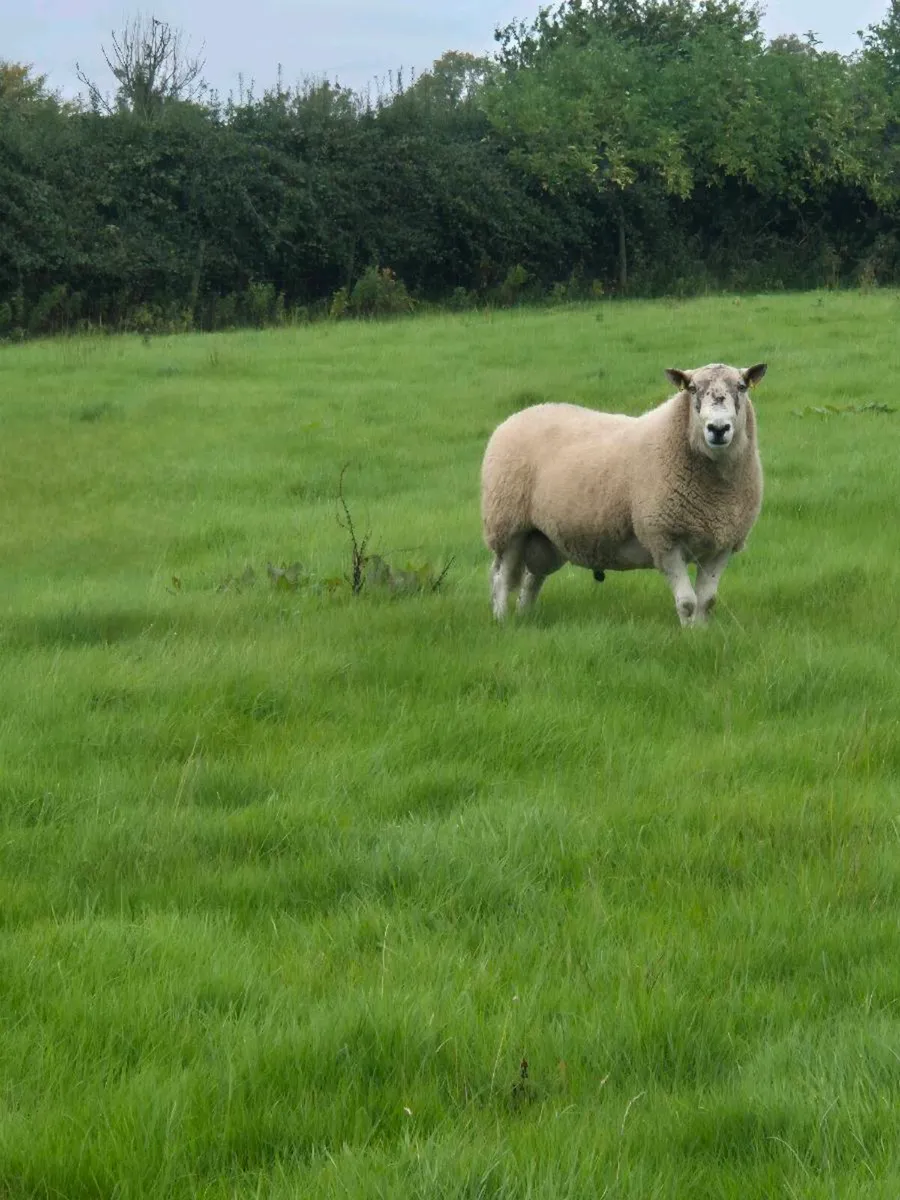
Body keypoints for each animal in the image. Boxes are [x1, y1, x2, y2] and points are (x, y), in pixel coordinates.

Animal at [481, 362, 767, 627]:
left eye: (742, 386)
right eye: (692, 388)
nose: (718, 429)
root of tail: (516, 416)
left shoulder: (722, 543)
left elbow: (706, 602)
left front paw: (701, 635)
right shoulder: (663, 537)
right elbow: (687, 603)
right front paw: (688, 636)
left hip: (544, 537)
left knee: (532, 579)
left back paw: (525, 617)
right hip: (508, 524)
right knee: (501, 579)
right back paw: (502, 621)